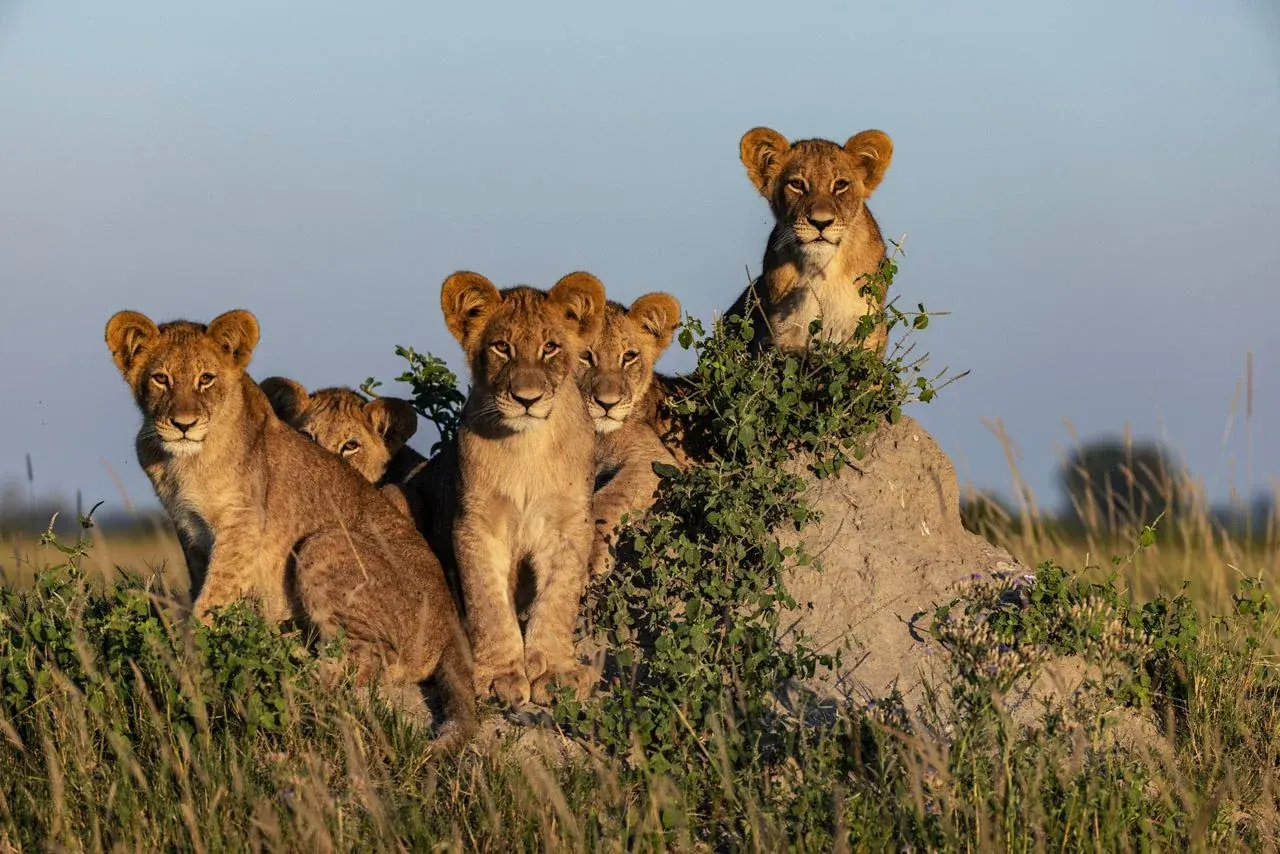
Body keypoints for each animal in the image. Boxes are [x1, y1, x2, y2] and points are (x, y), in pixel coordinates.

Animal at [104, 309, 476, 749]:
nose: (183, 424)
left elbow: (211, 600)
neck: (181, 460)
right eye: (161, 379)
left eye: (205, 378)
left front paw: (191, 657)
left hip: (322, 543)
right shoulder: (190, 530)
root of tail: (450, 621)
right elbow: (200, 588)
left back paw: (293, 670)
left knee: (369, 660)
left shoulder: (243, 525)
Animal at [434, 271, 605, 707]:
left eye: (550, 348)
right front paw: (499, 674)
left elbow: (558, 597)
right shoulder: (477, 522)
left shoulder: (569, 523)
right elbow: (487, 602)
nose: (527, 399)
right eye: (501, 347)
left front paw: (556, 671)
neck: (526, 446)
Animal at [578, 292, 683, 578]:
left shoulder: (655, 459)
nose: (607, 403)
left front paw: (590, 558)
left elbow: (606, 498)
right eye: (585, 356)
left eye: (629, 356)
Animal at [725, 126, 894, 355]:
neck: (823, 273)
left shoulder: (868, 333)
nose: (821, 222)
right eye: (797, 184)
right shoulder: (781, 336)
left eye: (840, 185)